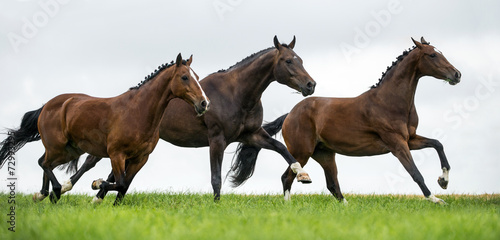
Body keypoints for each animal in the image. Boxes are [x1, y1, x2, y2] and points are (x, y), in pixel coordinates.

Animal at [0, 54, 209, 204]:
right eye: (184, 77)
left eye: (198, 77)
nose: (204, 103)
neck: (139, 112)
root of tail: (47, 106)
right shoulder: (117, 154)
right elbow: (120, 182)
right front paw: (97, 184)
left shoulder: (140, 158)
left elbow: (124, 186)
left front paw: (101, 195)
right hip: (57, 147)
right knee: (43, 163)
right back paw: (56, 191)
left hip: (69, 150)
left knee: (45, 163)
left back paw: (44, 195)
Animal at [60, 34, 314, 202]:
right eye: (288, 61)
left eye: (300, 59)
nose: (311, 85)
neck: (236, 93)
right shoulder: (217, 139)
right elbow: (216, 177)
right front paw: (216, 206)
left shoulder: (252, 135)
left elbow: (282, 148)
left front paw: (302, 173)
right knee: (90, 161)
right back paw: (68, 187)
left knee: (117, 173)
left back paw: (100, 196)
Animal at [230, 37, 460, 204]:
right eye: (432, 55)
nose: (457, 74)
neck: (390, 101)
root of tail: (290, 114)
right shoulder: (397, 144)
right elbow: (415, 173)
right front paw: (436, 199)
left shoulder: (410, 139)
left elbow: (438, 144)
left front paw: (443, 181)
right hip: (302, 152)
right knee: (288, 176)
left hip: (325, 154)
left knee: (332, 185)